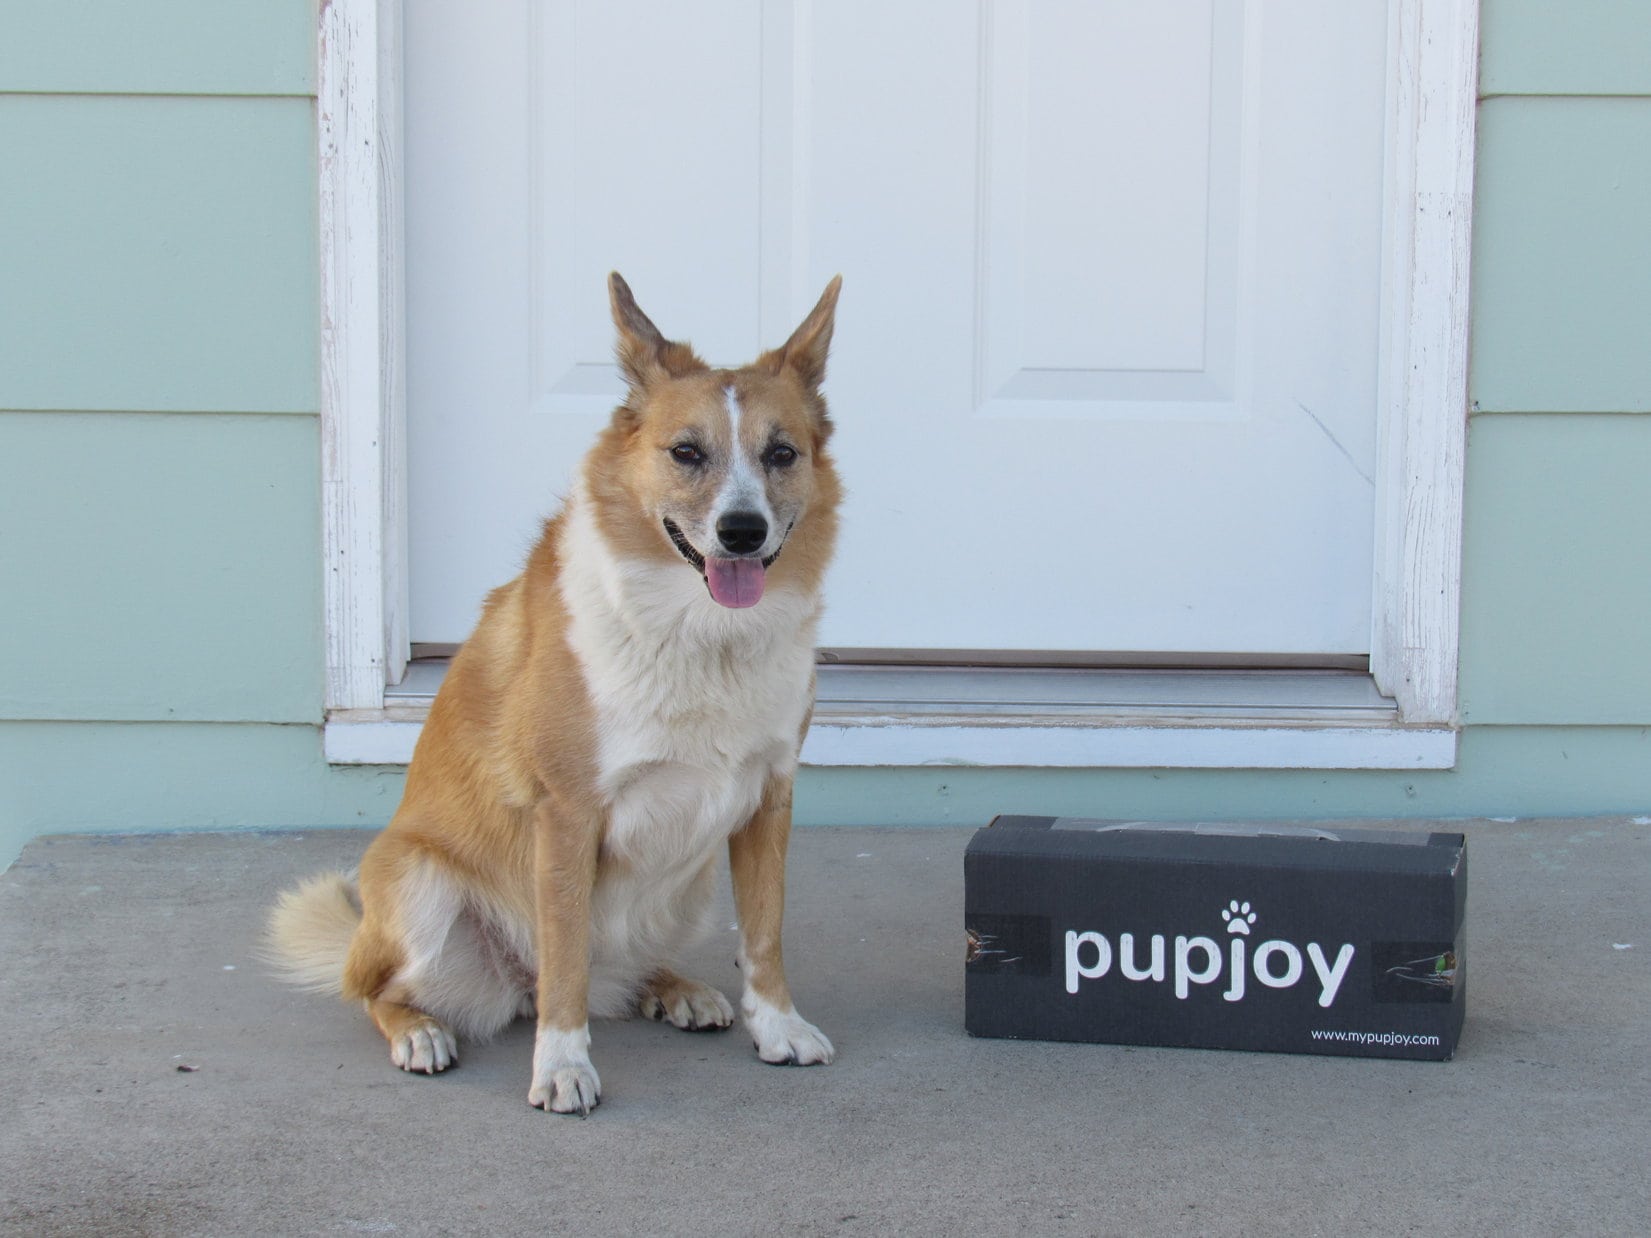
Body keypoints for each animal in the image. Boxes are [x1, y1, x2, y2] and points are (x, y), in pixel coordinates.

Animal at [267, 273, 843, 1114]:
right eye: (686, 452)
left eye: (780, 454)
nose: (741, 531)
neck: (701, 636)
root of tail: (512, 989)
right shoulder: (568, 816)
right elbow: (566, 955)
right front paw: (564, 1065)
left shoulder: (767, 801)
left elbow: (764, 935)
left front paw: (777, 1027)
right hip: (418, 885)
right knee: (385, 989)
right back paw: (419, 1029)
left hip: (692, 879)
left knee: (617, 971)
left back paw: (673, 988)